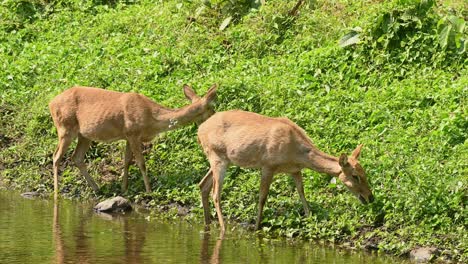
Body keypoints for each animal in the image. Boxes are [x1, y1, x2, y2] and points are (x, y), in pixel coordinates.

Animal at [49, 83, 218, 197]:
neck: (152, 118)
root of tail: (51, 103)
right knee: (56, 156)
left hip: (84, 135)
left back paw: (97, 188)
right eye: (211, 108)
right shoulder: (133, 133)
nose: (215, 118)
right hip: (65, 127)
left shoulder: (128, 136)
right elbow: (141, 163)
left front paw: (123, 188)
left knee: (76, 157)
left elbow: (126, 161)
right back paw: (57, 192)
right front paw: (149, 190)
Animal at [197, 109, 372, 233]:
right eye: (355, 176)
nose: (371, 197)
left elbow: (301, 192)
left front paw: (309, 218)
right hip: (217, 157)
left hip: (221, 159)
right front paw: (256, 227)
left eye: (365, 173)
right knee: (216, 194)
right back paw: (223, 229)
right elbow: (262, 197)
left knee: (202, 185)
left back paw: (207, 223)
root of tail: (199, 129)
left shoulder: (294, 170)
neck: (296, 153)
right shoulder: (268, 165)